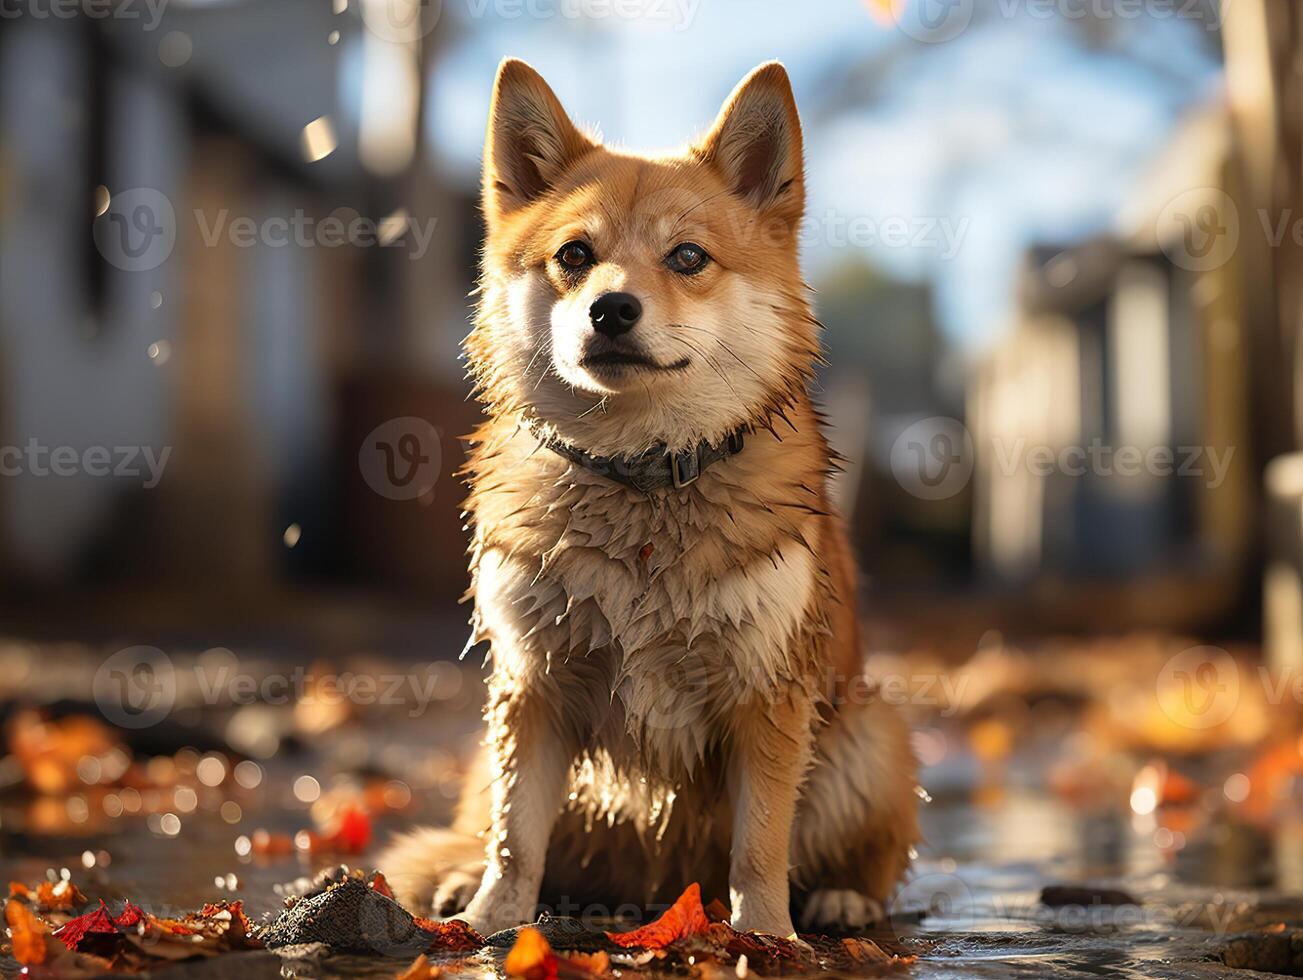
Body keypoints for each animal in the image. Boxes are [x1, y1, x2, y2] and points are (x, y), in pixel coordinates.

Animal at [380, 55, 922, 943]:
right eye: (574, 254)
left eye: (687, 257)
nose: (611, 308)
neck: (638, 477)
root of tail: (659, 886)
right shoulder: (531, 684)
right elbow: (514, 837)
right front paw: (496, 923)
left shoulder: (765, 695)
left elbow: (759, 845)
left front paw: (765, 935)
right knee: (490, 834)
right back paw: (470, 883)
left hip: (871, 738)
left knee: (859, 854)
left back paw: (842, 901)